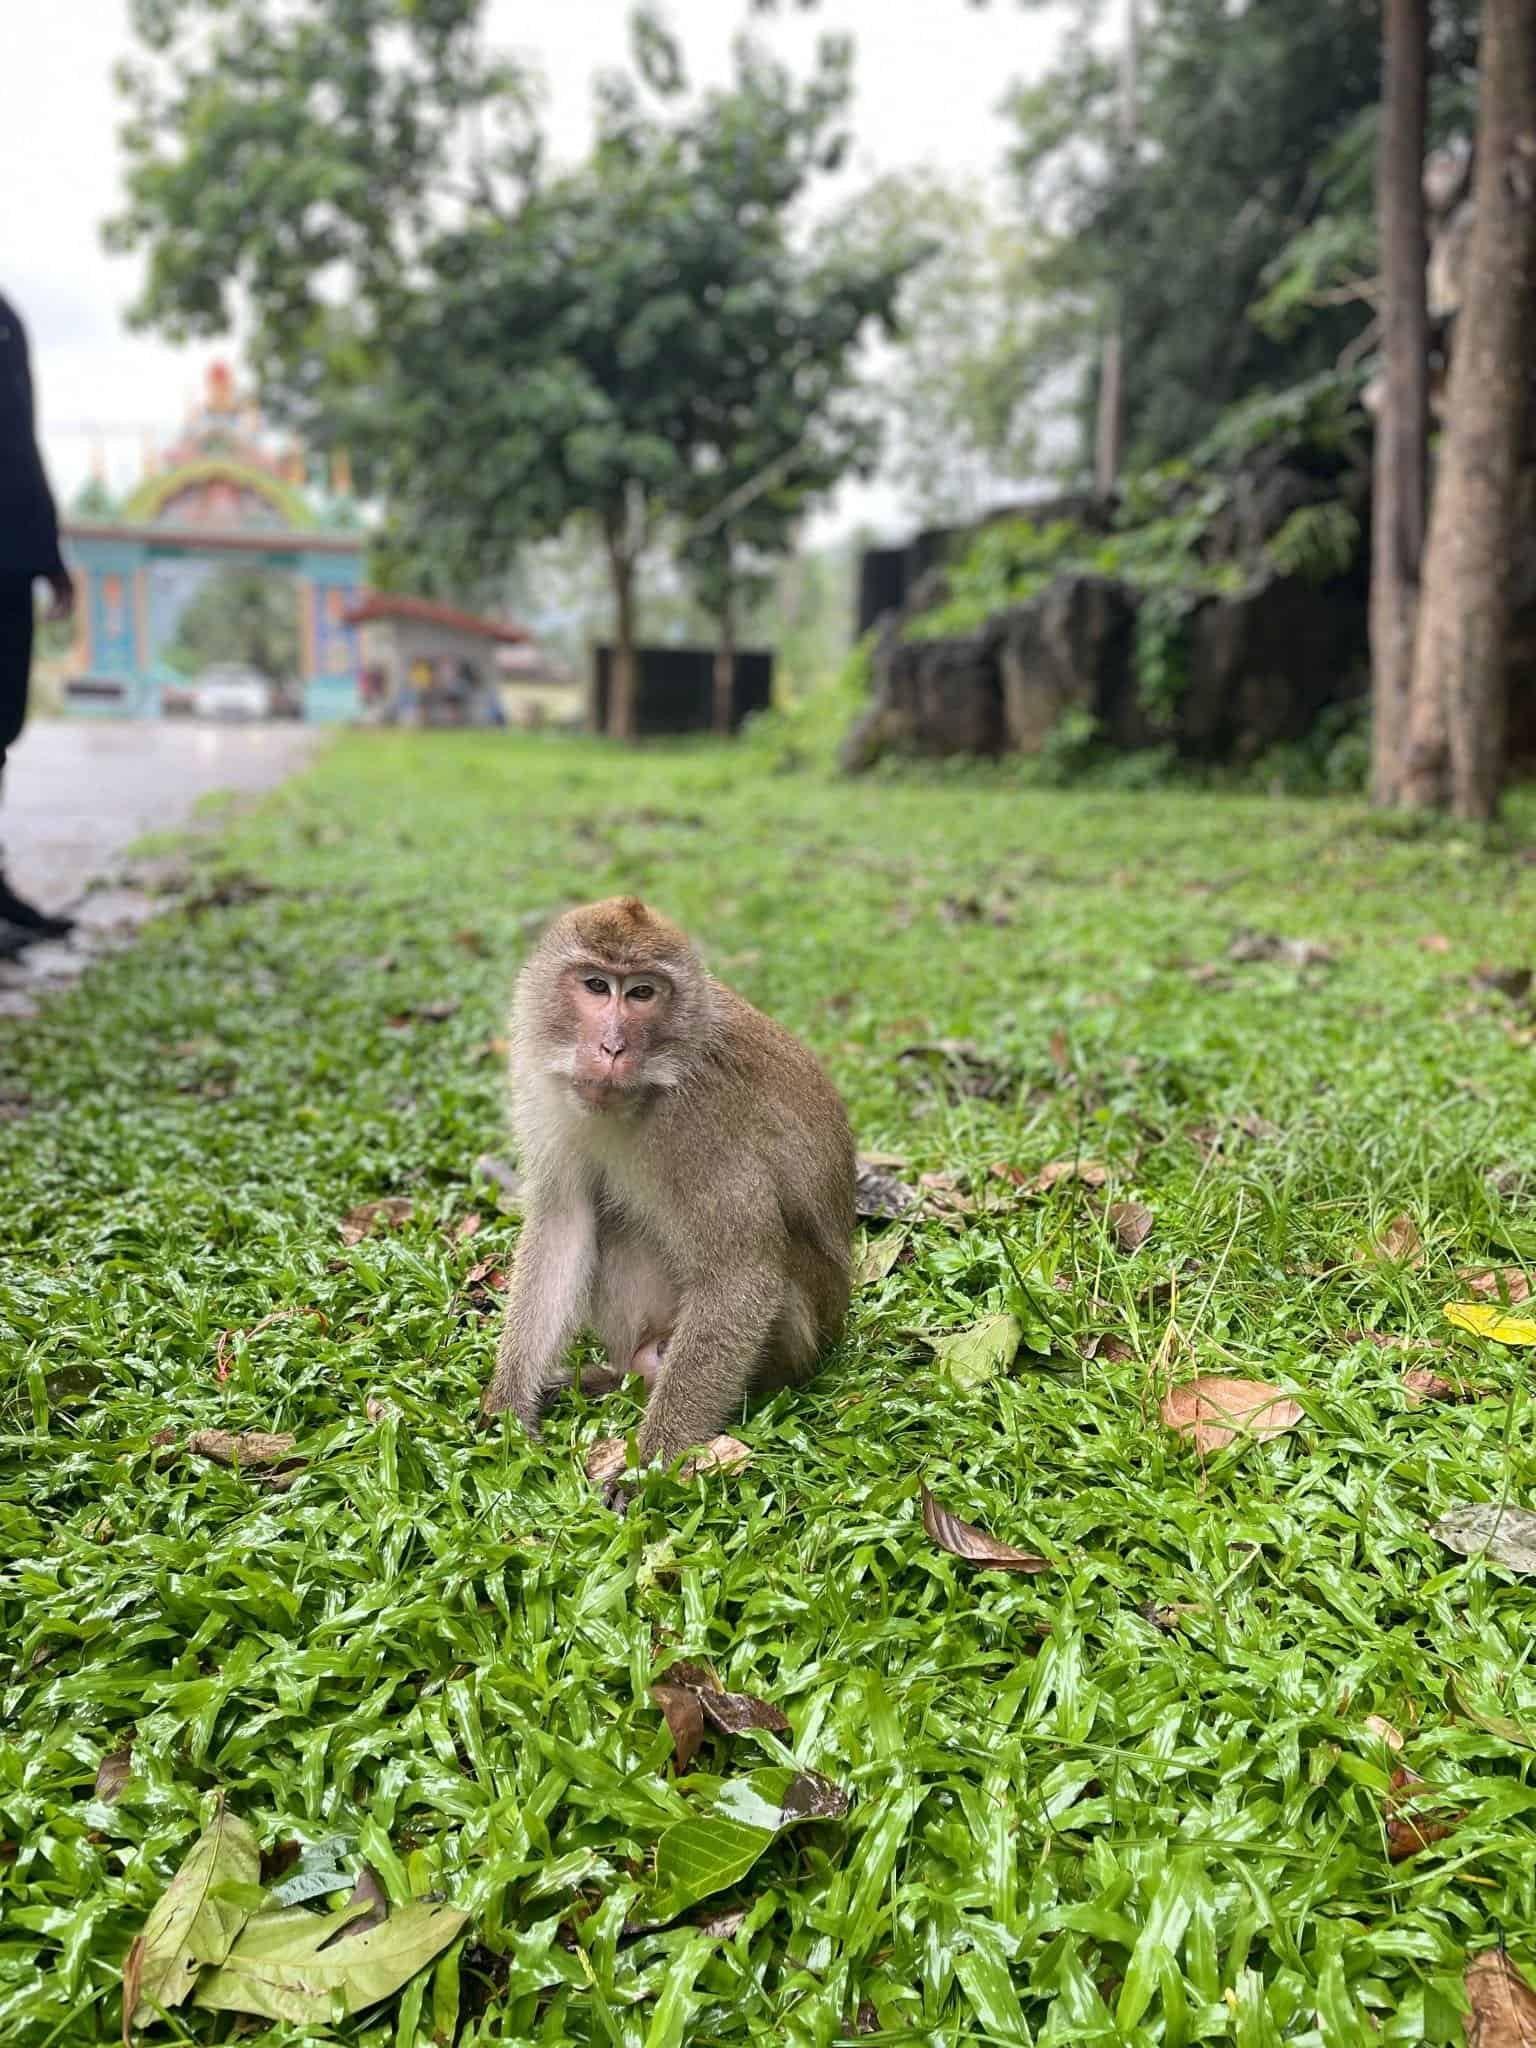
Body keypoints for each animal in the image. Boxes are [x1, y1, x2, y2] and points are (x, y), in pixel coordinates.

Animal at [481, 896, 855, 1484]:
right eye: (596, 985)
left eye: (641, 993)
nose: (612, 1046)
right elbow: (563, 1225)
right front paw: (510, 1411)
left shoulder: (701, 1121)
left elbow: (740, 1275)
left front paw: (650, 1465)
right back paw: (614, 1376)